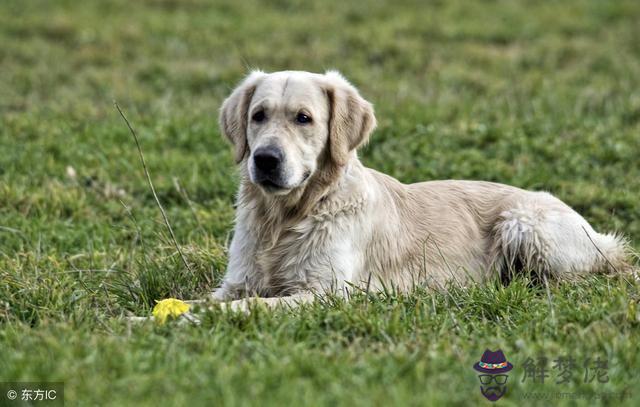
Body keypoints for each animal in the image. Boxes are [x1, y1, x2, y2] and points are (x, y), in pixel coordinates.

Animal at [211, 71, 632, 312]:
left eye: (303, 118)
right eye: (258, 116)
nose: (265, 159)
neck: (286, 217)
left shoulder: (327, 291)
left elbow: (252, 305)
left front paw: (204, 318)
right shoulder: (237, 282)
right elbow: (221, 297)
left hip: (524, 223)